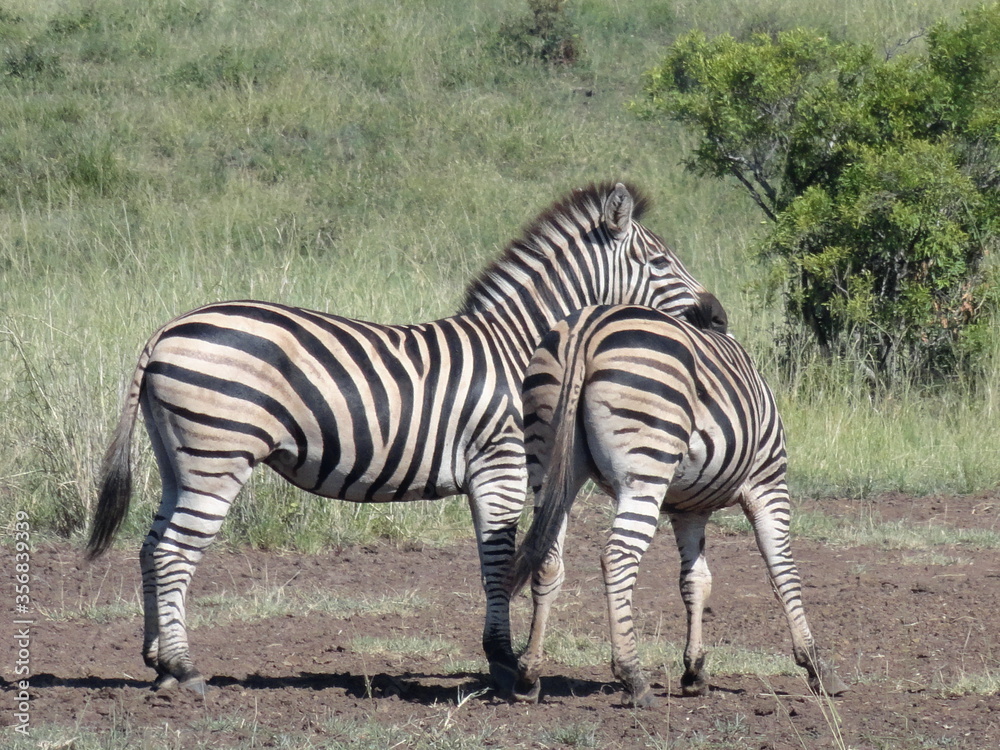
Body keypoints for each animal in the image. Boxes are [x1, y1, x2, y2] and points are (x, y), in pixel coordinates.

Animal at [85, 182, 727, 697]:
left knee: (150, 545)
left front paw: (506, 661)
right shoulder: (500, 465)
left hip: (181, 459)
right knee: (173, 552)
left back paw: (157, 664)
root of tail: (167, 329)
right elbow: (497, 561)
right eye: (658, 259)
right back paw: (185, 668)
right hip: (218, 454)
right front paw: (503, 663)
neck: (521, 344)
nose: (719, 317)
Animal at [508, 304, 846, 706]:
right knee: (618, 557)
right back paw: (633, 677)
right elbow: (784, 573)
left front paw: (695, 671)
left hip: (546, 461)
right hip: (645, 468)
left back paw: (529, 675)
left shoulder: (689, 509)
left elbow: (695, 581)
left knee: (547, 559)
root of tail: (584, 331)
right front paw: (815, 665)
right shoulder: (769, 482)